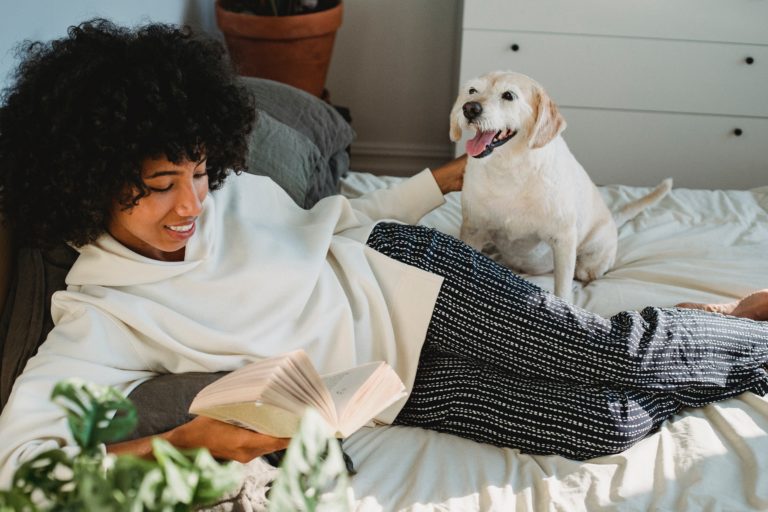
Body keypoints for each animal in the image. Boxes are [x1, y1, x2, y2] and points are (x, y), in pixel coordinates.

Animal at [450, 73, 672, 302]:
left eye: (508, 95)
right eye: (472, 91)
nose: (469, 108)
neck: (509, 170)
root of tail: (612, 217)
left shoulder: (563, 239)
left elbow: (563, 287)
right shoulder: (473, 229)